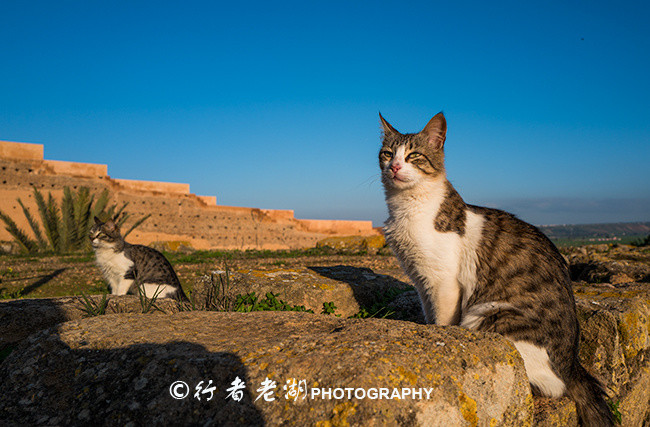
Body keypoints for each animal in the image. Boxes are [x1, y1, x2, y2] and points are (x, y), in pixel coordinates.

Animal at [378, 112, 612, 426]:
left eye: (414, 156)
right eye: (387, 154)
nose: (394, 167)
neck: (405, 208)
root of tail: (572, 364)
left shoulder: (443, 283)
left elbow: (442, 322)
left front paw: (440, 337)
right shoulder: (422, 282)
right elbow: (429, 317)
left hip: (487, 317)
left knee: (552, 386)